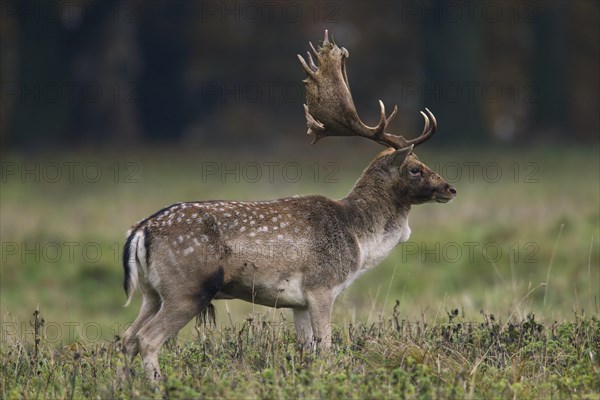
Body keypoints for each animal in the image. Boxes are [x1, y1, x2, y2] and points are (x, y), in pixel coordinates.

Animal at [120, 30, 454, 378]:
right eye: (415, 168)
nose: (450, 188)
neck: (359, 239)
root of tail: (140, 232)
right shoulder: (322, 286)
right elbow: (326, 348)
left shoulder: (299, 303)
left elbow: (308, 350)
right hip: (186, 288)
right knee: (147, 339)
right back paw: (156, 383)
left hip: (151, 292)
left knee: (127, 337)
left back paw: (123, 383)